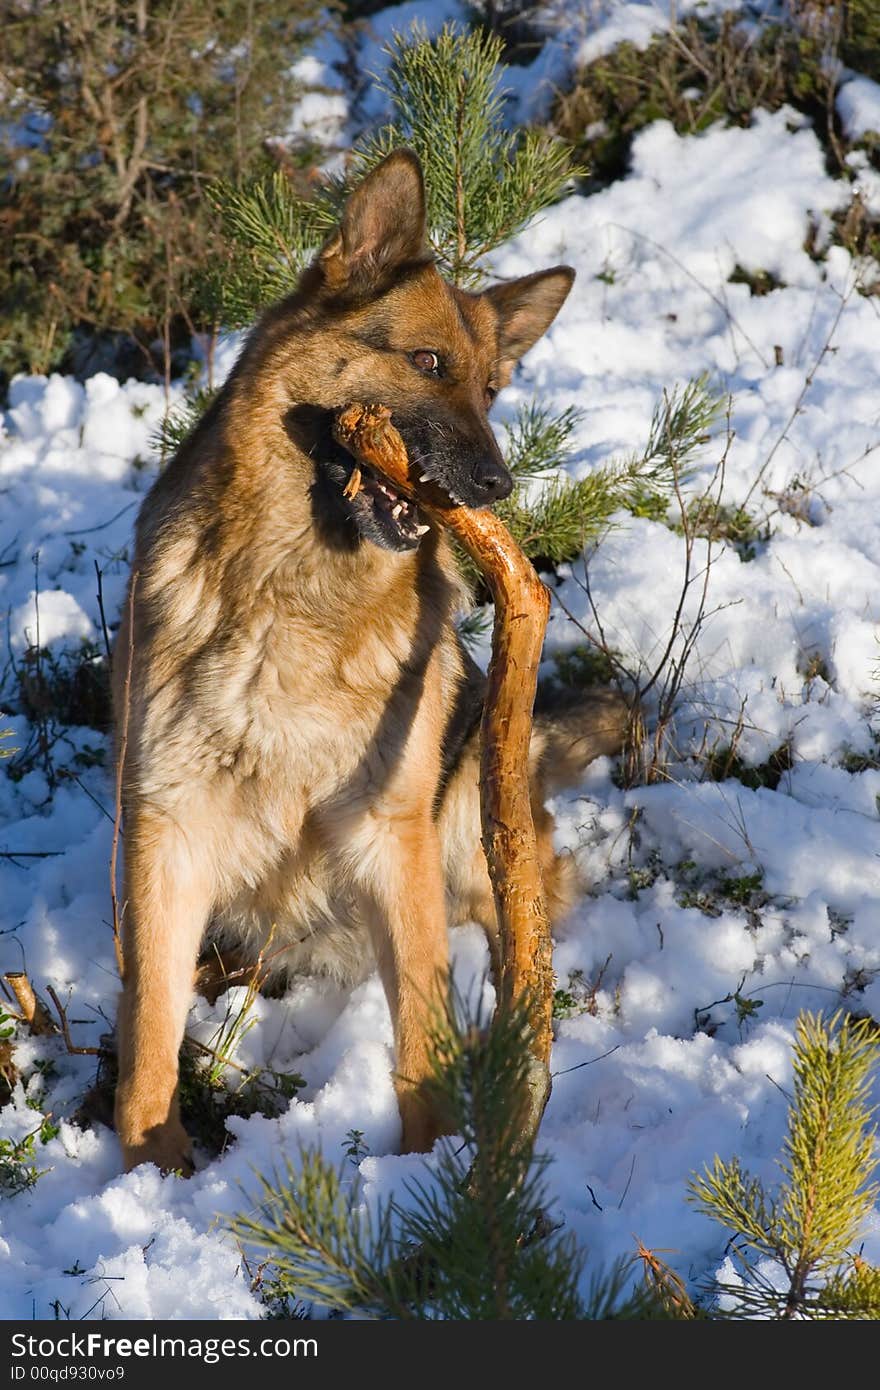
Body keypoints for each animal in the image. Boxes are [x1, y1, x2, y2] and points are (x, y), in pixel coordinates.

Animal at [114, 152, 625, 1173]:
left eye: (492, 391)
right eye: (427, 365)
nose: (497, 486)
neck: (297, 594)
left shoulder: (393, 834)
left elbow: (421, 1033)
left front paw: (435, 1164)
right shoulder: (166, 823)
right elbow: (150, 1022)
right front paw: (152, 1164)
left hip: (467, 819)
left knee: (514, 914)